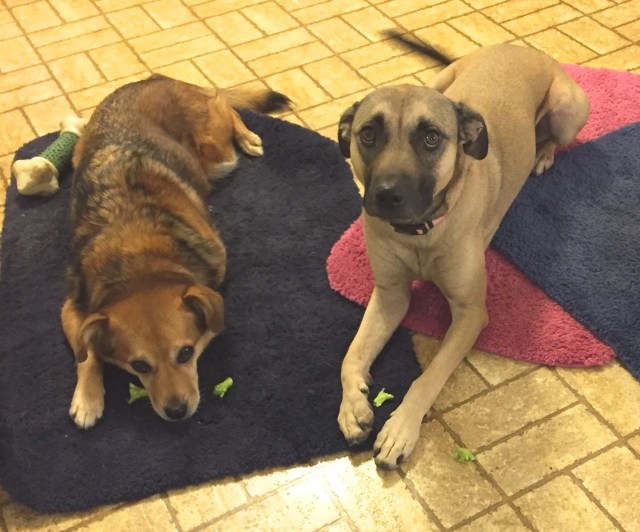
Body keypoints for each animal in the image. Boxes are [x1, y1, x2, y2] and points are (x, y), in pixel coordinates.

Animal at [338, 34, 588, 470]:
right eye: (368, 134)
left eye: (431, 137)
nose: (386, 195)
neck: (419, 233)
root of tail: (525, 50)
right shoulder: (389, 295)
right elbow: (351, 355)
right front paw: (352, 406)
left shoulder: (471, 314)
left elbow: (428, 377)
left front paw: (401, 428)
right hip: (440, 82)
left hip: (568, 109)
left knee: (552, 137)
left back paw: (542, 155)